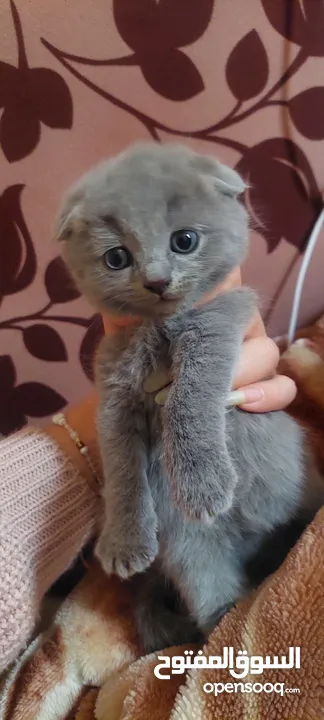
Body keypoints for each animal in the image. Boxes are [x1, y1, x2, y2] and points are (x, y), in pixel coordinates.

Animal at [55, 143, 322, 648]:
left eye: (184, 241)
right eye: (116, 258)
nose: (157, 281)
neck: (160, 330)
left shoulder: (221, 323)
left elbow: (189, 395)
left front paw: (203, 483)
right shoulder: (114, 388)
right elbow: (120, 466)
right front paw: (124, 541)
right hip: (188, 548)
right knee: (209, 586)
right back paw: (224, 623)